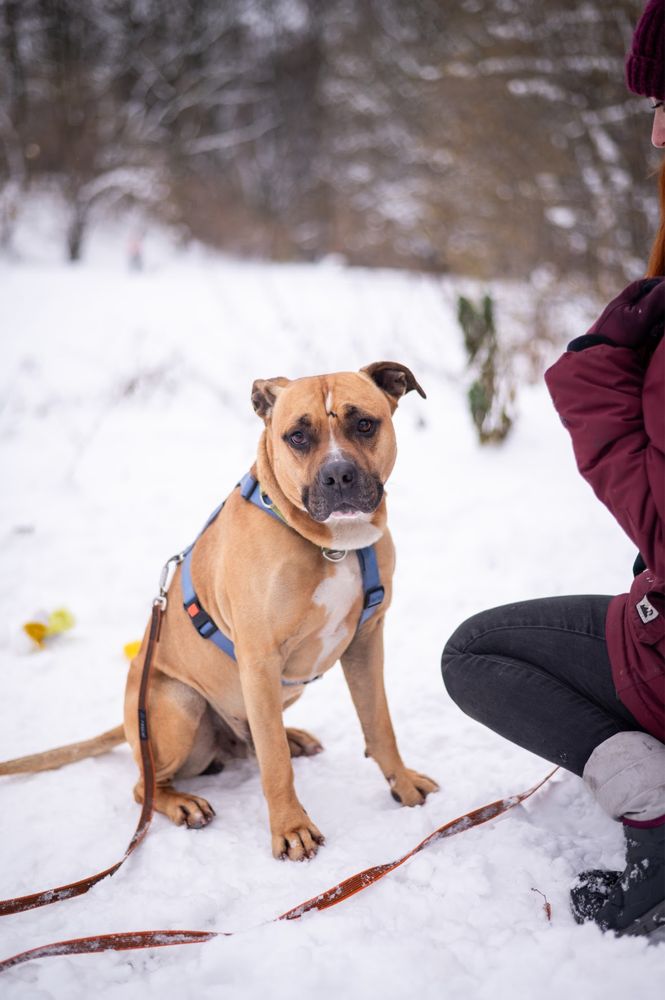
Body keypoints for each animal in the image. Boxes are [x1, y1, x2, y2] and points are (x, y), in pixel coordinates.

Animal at [0, 364, 436, 864]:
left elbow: (379, 723)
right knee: (146, 786)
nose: (339, 475)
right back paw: (183, 802)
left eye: (364, 423)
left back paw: (291, 737)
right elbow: (274, 764)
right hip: (179, 702)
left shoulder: (366, 640)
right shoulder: (260, 658)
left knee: (251, 743)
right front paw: (291, 829)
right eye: (298, 436)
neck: (332, 546)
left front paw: (403, 783)